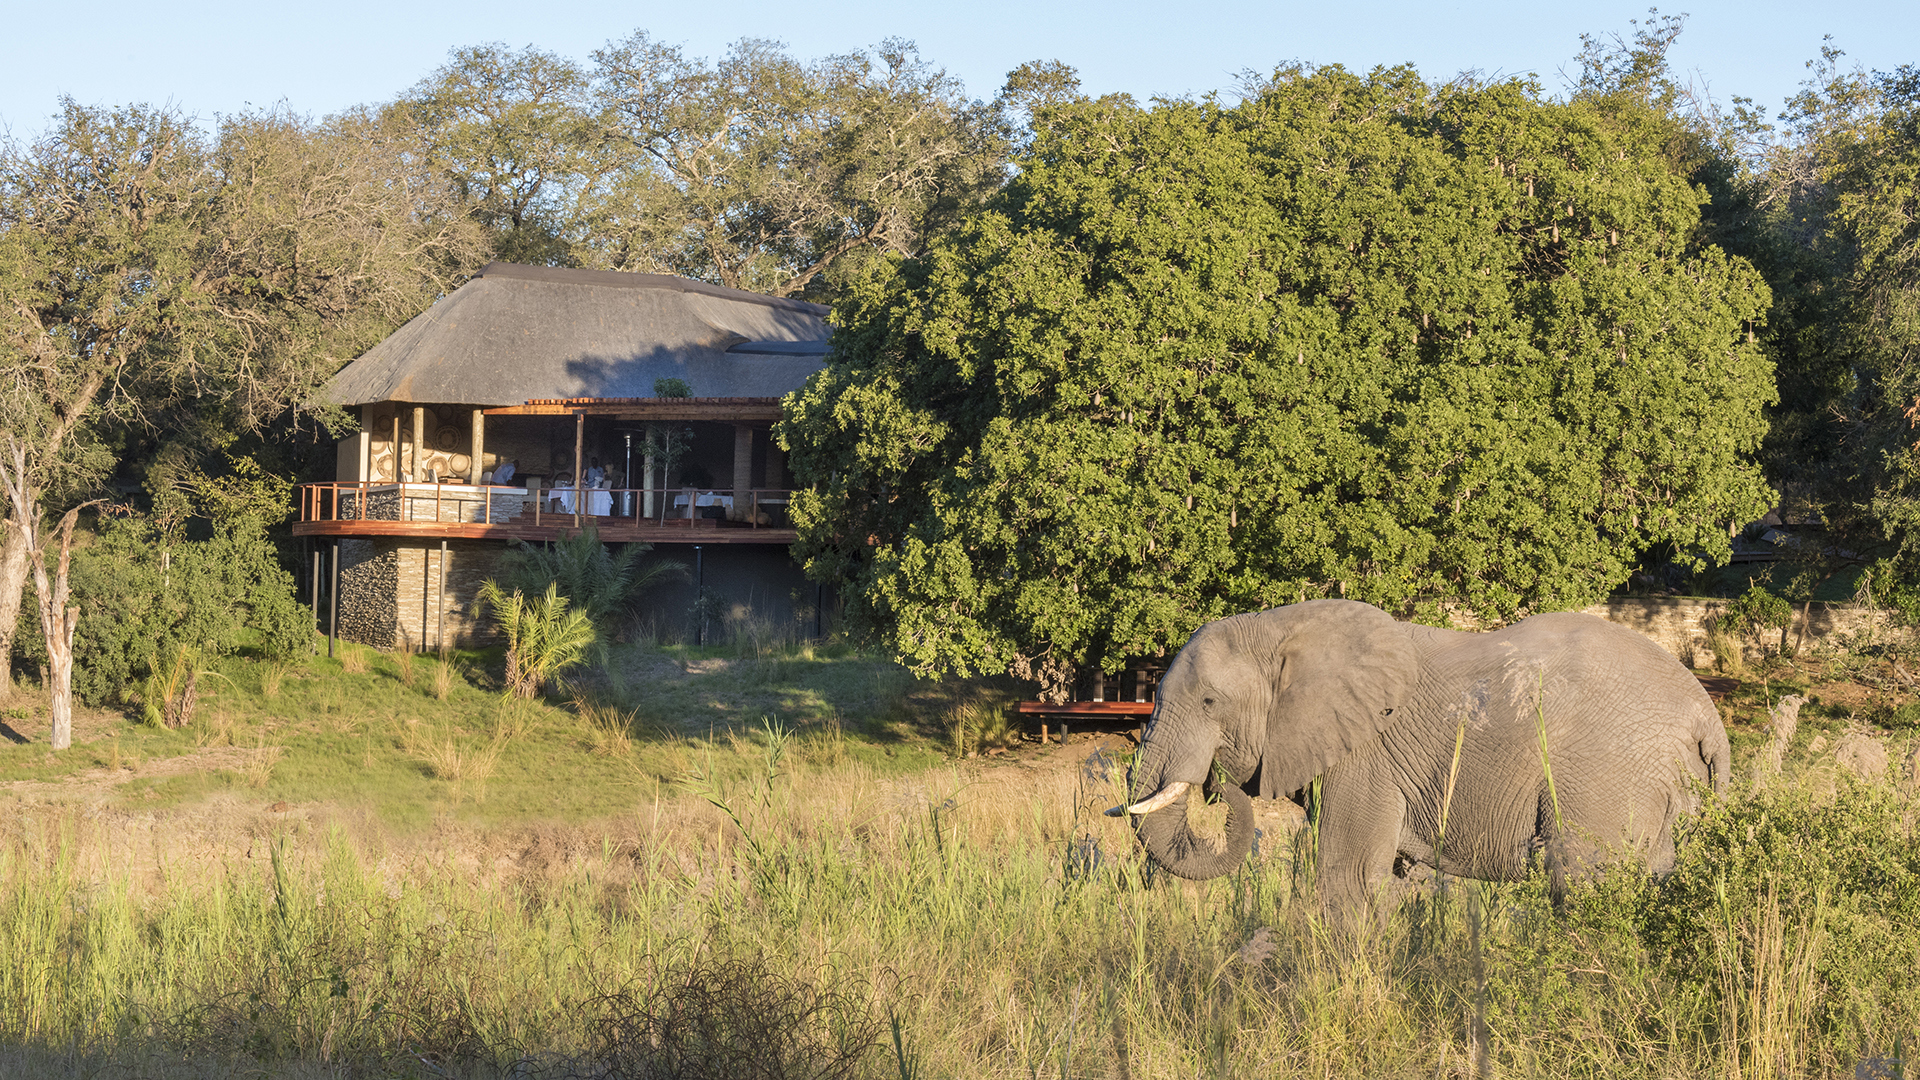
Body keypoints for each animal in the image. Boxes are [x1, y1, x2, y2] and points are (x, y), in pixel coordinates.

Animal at [1116, 600, 1729, 908]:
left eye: (1210, 702)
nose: (1216, 784)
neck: (1278, 626)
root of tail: (1708, 717)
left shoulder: (1364, 757)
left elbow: (1347, 874)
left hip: (1608, 778)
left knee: (1582, 881)